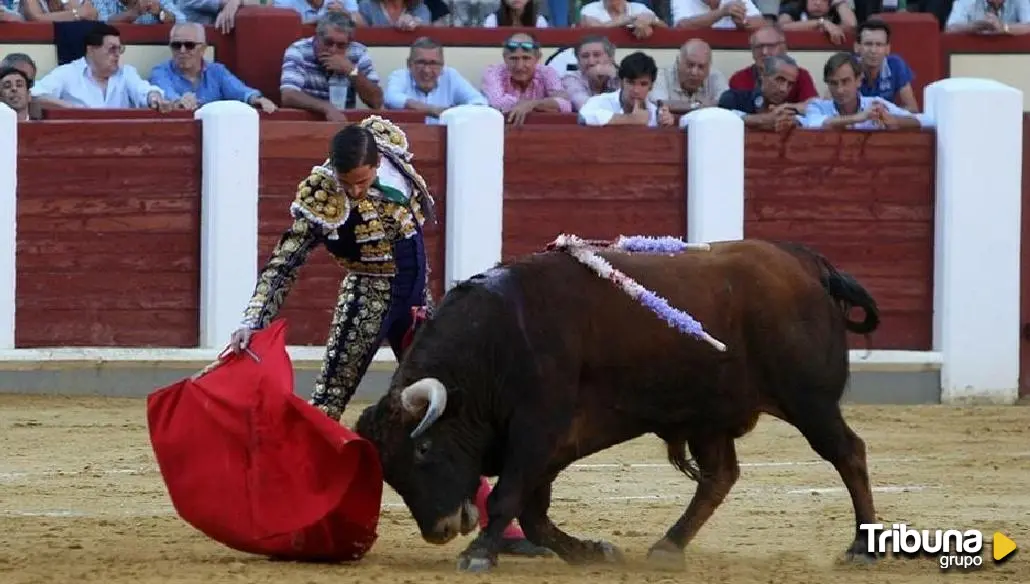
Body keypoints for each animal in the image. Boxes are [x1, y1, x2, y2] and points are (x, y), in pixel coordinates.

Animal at [358, 239, 881, 572]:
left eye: (423, 449)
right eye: (389, 470)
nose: (440, 529)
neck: (494, 345)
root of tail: (806, 263)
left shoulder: (537, 431)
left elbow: (510, 497)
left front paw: (479, 554)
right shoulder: (548, 447)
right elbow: (534, 515)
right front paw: (590, 551)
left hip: (809, 401)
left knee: (848, 453)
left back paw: (863, 547)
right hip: (709, 417)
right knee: (720, 476)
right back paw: (669, 547)